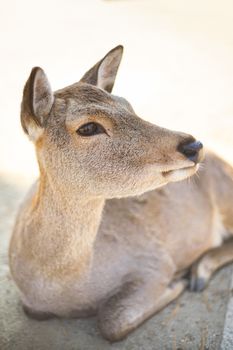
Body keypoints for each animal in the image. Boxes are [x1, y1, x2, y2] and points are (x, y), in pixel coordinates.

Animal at [9, 45, 233, 340]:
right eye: (88, 127)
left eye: (127, 105)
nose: (194, 145)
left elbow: (112, 321)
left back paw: (198, 274)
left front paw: (177, 283)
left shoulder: (154, 262)